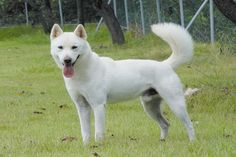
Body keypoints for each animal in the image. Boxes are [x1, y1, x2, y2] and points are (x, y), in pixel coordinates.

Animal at [49, 22, 195, 144]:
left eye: (74, 47)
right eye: (60, 47)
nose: (67, 60)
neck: (82, 73)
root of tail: (165, 64)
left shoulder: (98, 105)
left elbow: (98, 131)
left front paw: (98, 146)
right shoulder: (82, 107)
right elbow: (85, 131)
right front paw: (86, 146)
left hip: (176, 105)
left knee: (189, 124)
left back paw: (192, 142)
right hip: (150, 107)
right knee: (165, 124)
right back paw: (162, 142)